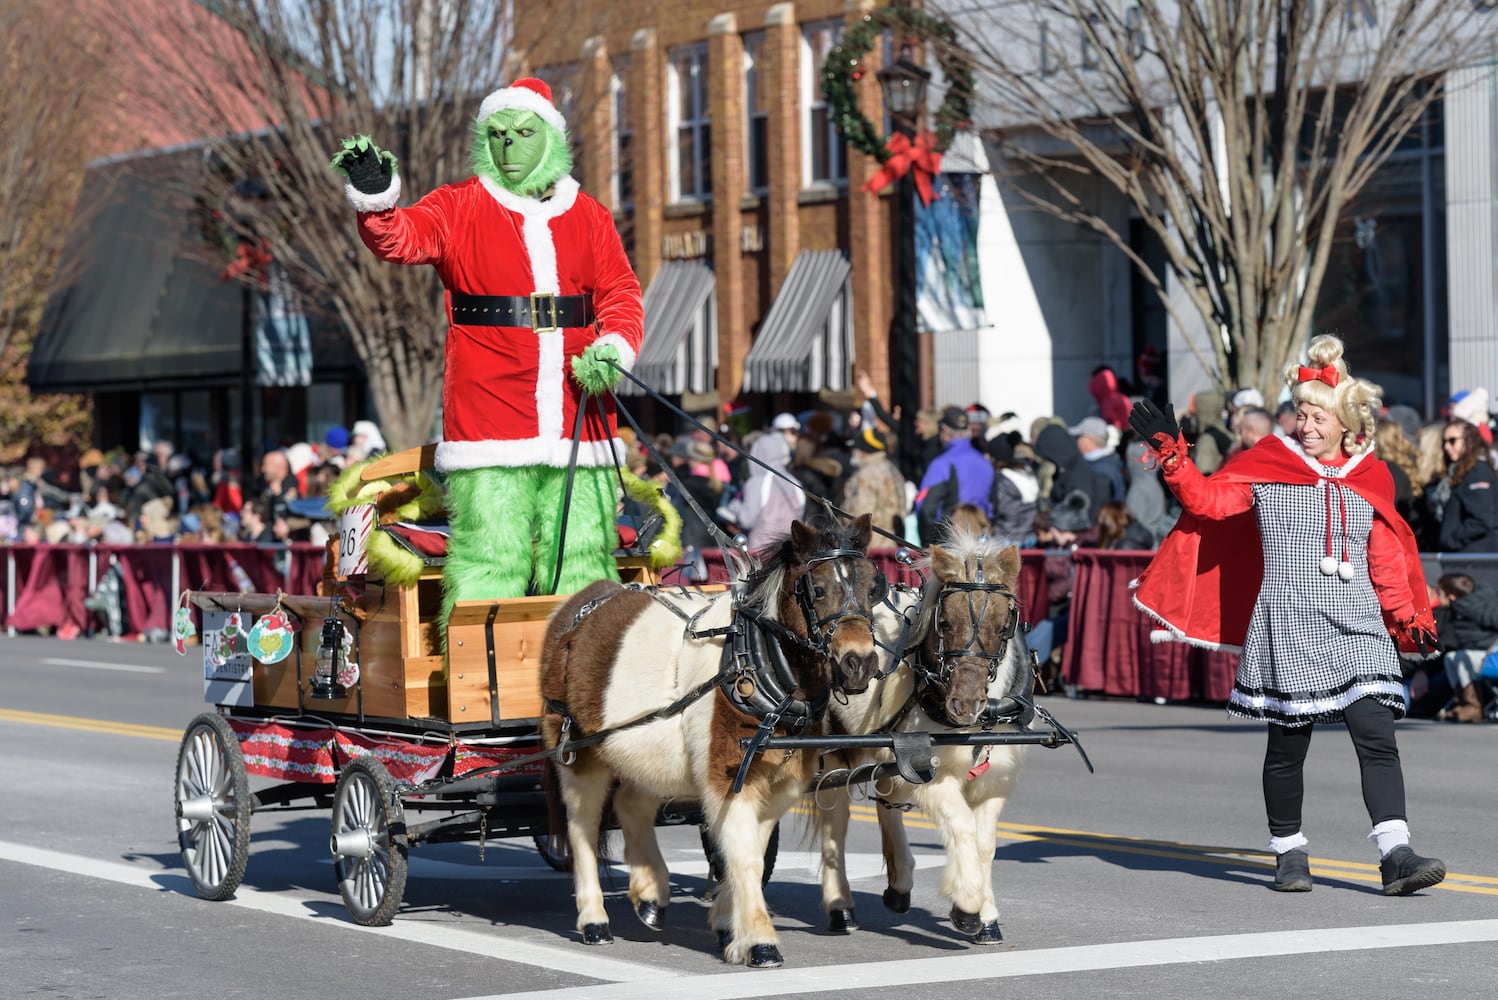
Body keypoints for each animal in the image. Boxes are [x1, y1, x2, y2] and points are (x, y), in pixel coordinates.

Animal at [542, 514, 880, 970]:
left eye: (872, 585)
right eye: (818, 589)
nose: (859, 662)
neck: (751, 661)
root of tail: (576, 603)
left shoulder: (778, 784)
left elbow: (746, 855)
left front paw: (728, 928)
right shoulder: (728, 780)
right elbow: (745, 855)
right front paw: (759, 941)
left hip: (646, 755)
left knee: (631, 805)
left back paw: (651, 892)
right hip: (580, 756)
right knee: (583, 826)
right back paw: (594, 919)